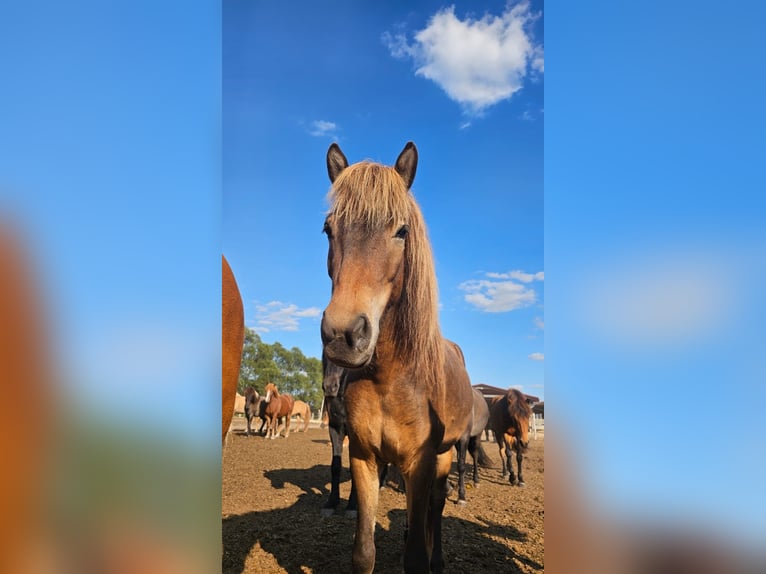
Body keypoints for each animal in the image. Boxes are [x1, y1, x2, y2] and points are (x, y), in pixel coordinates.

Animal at [320, 142, 474, 573]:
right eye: (328, 229)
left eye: (401, 231)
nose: (343, 336)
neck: (389, 378)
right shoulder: (364, 458)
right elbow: (363, 552)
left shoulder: (420, 464)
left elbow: (416, 557)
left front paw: (425, 554)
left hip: (444, 456)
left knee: (436, 507)